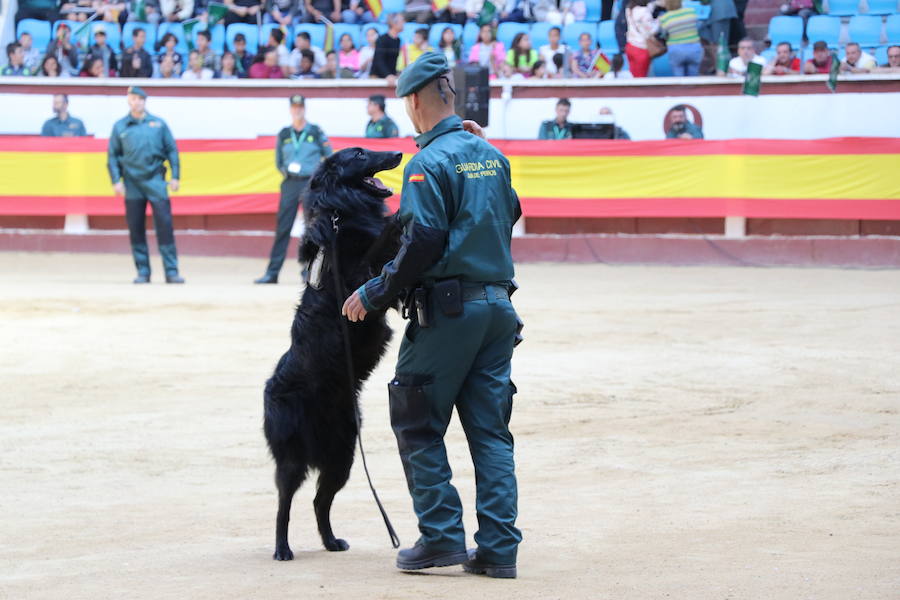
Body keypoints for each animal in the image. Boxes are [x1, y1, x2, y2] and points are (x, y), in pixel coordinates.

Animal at [260, 148, 400, 560]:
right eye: (360, 154)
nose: (398, 152)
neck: (342, 214)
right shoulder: (358, 278)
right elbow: (383, 241)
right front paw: (401, 218)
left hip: (343, 456)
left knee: (319, 502)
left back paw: (331, 541)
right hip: (293, 459)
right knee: (285, 504)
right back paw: (282, 548)